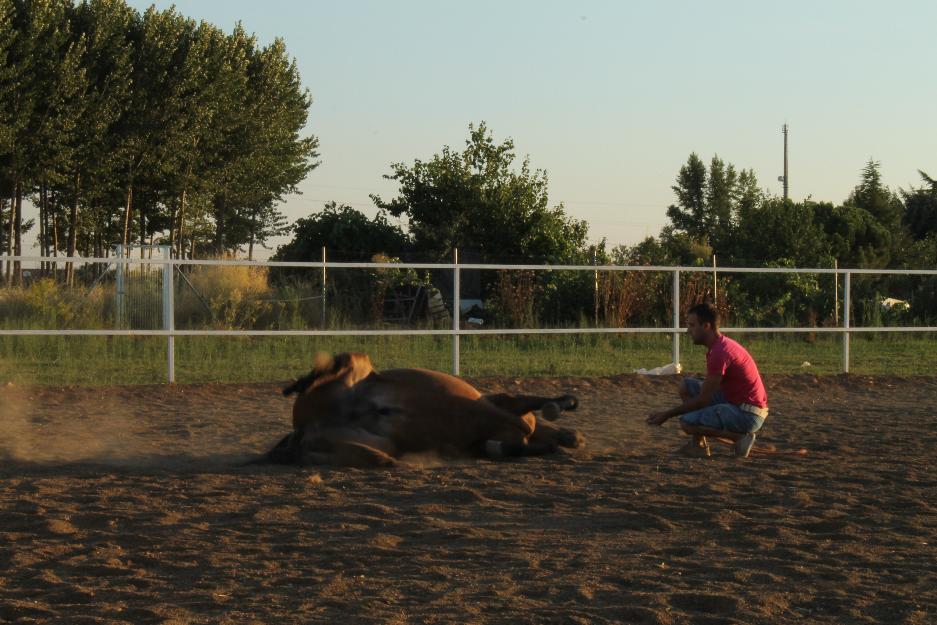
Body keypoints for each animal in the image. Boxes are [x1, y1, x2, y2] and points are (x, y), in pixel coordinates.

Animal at [252, 352, 580, 464]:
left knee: (381, 457)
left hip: (376, 444)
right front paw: (564, 404)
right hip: (358, 367)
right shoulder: (499, 404)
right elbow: (523, 402)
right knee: (337, 364)